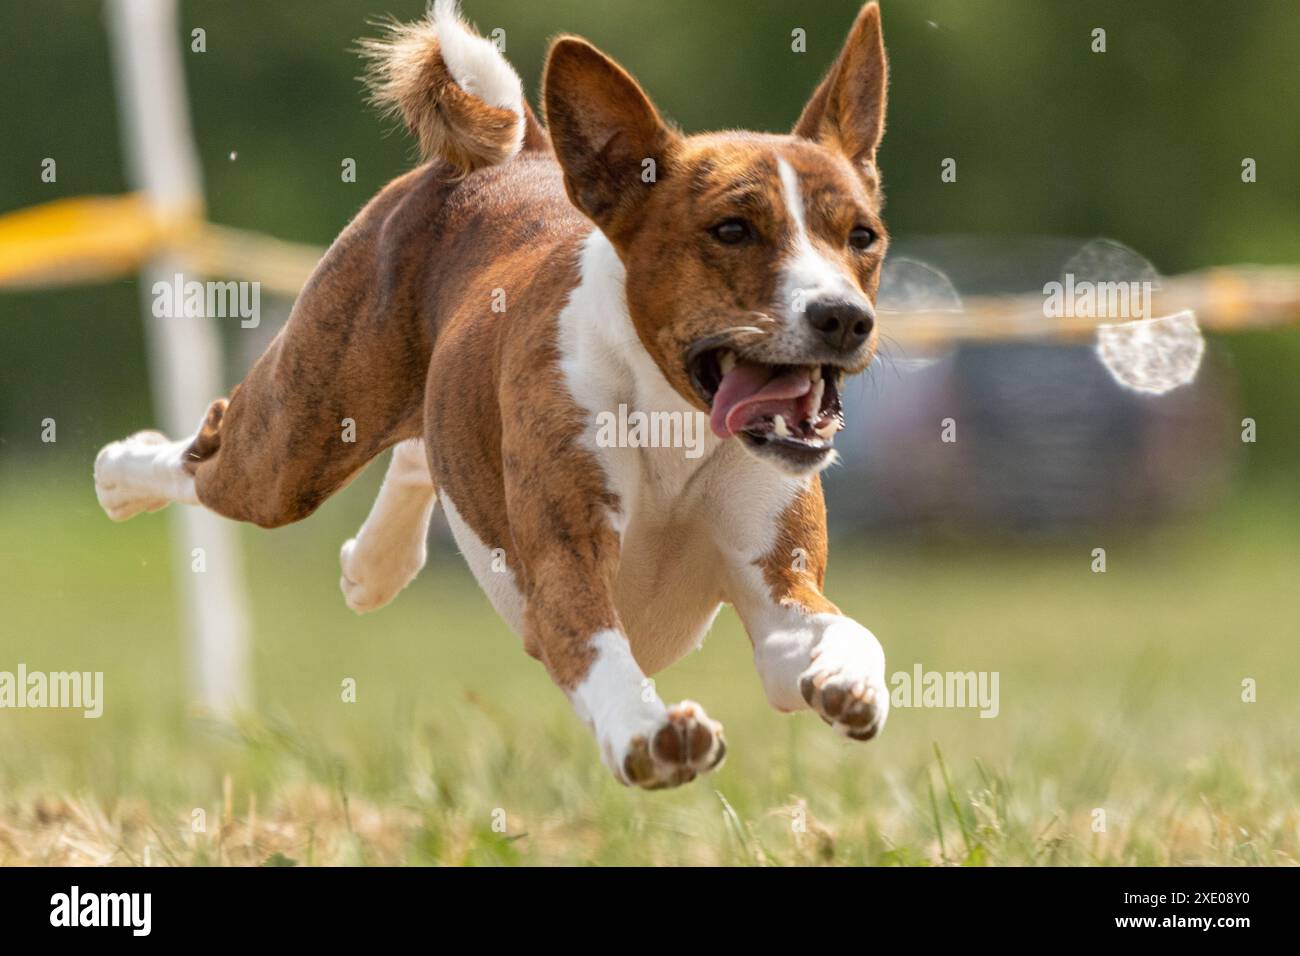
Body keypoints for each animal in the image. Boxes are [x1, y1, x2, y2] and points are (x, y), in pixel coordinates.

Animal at [96, 0, 894, 790]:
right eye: (731, 229)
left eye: (862, 236)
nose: (843, 317)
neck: (678, 425)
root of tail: (516, 156)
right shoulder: (565, 569)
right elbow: (602, 652)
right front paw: (647, 735)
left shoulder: (777, 584)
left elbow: (844, 635)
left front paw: (848, 680)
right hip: (296, 444)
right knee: (210, 457)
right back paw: (120, 475)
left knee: (421, 447)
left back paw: (373, 564)